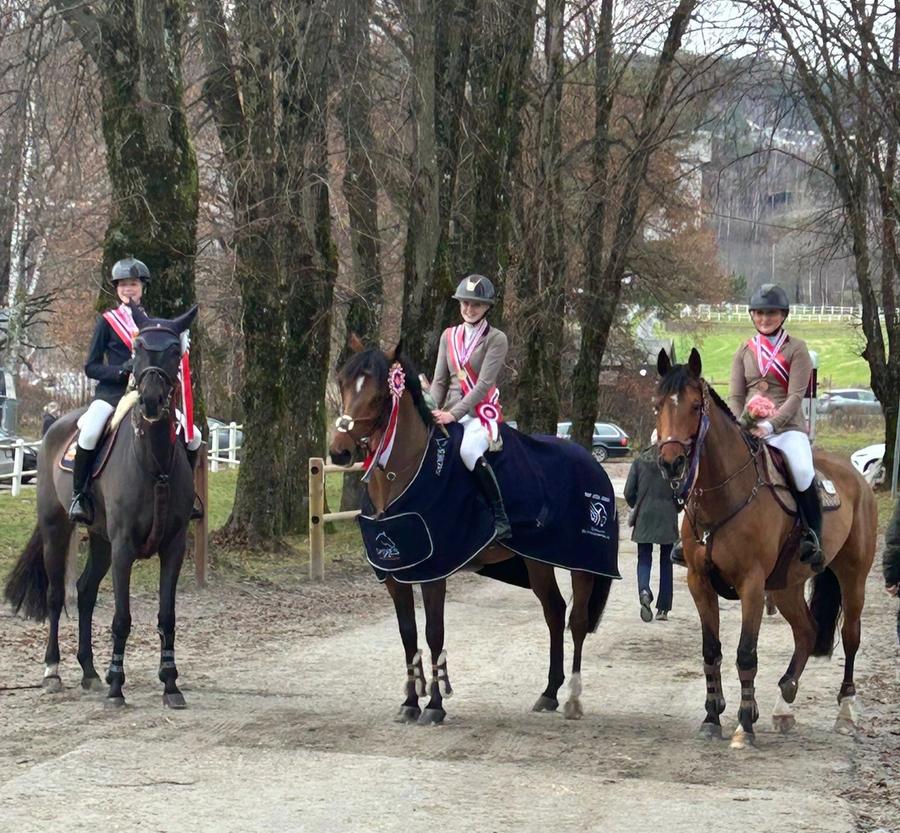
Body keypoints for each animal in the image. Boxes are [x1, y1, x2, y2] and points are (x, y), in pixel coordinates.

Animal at [4, 305, 198, 708]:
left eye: (175, 350)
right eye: (137, 348)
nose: (151, 401)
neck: (154, 463)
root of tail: (54, 426)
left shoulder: (173, 546)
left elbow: (168, 616)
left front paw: (170, 684)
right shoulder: (124, 546)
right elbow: (122, 618)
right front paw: (116, 687)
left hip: (100, 539)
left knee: (86, 591)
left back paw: (90, 671)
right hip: (57, 527)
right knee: (56, 594)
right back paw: (53, 671)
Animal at [329, 339, 617, 724]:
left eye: (378, 396)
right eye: (343, 383)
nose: (338, 451)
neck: (405, 475)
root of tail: (589, 461)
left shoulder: (433, 571)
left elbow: (434, 633)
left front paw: (435, 706)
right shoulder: (394, 573)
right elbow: (408, 635)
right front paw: (410, 702)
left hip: (582, 563)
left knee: (578, 621)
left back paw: (572, 699)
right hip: (537, 559)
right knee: (554, 612)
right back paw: (549, 693)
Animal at [654, 348, 876, 748]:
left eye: (695, 406)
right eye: (657, 405)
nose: (670, 462)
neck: (723, 495)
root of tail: (856, 477)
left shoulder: (752, 586)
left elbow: (746, 653)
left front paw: (744, 724)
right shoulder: (699, 583)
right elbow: (711, 651)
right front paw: (713, 716)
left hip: (853, 577)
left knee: (851, 636)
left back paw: (846, 711)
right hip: (787, 586)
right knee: (806, 631)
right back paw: (784, 703)